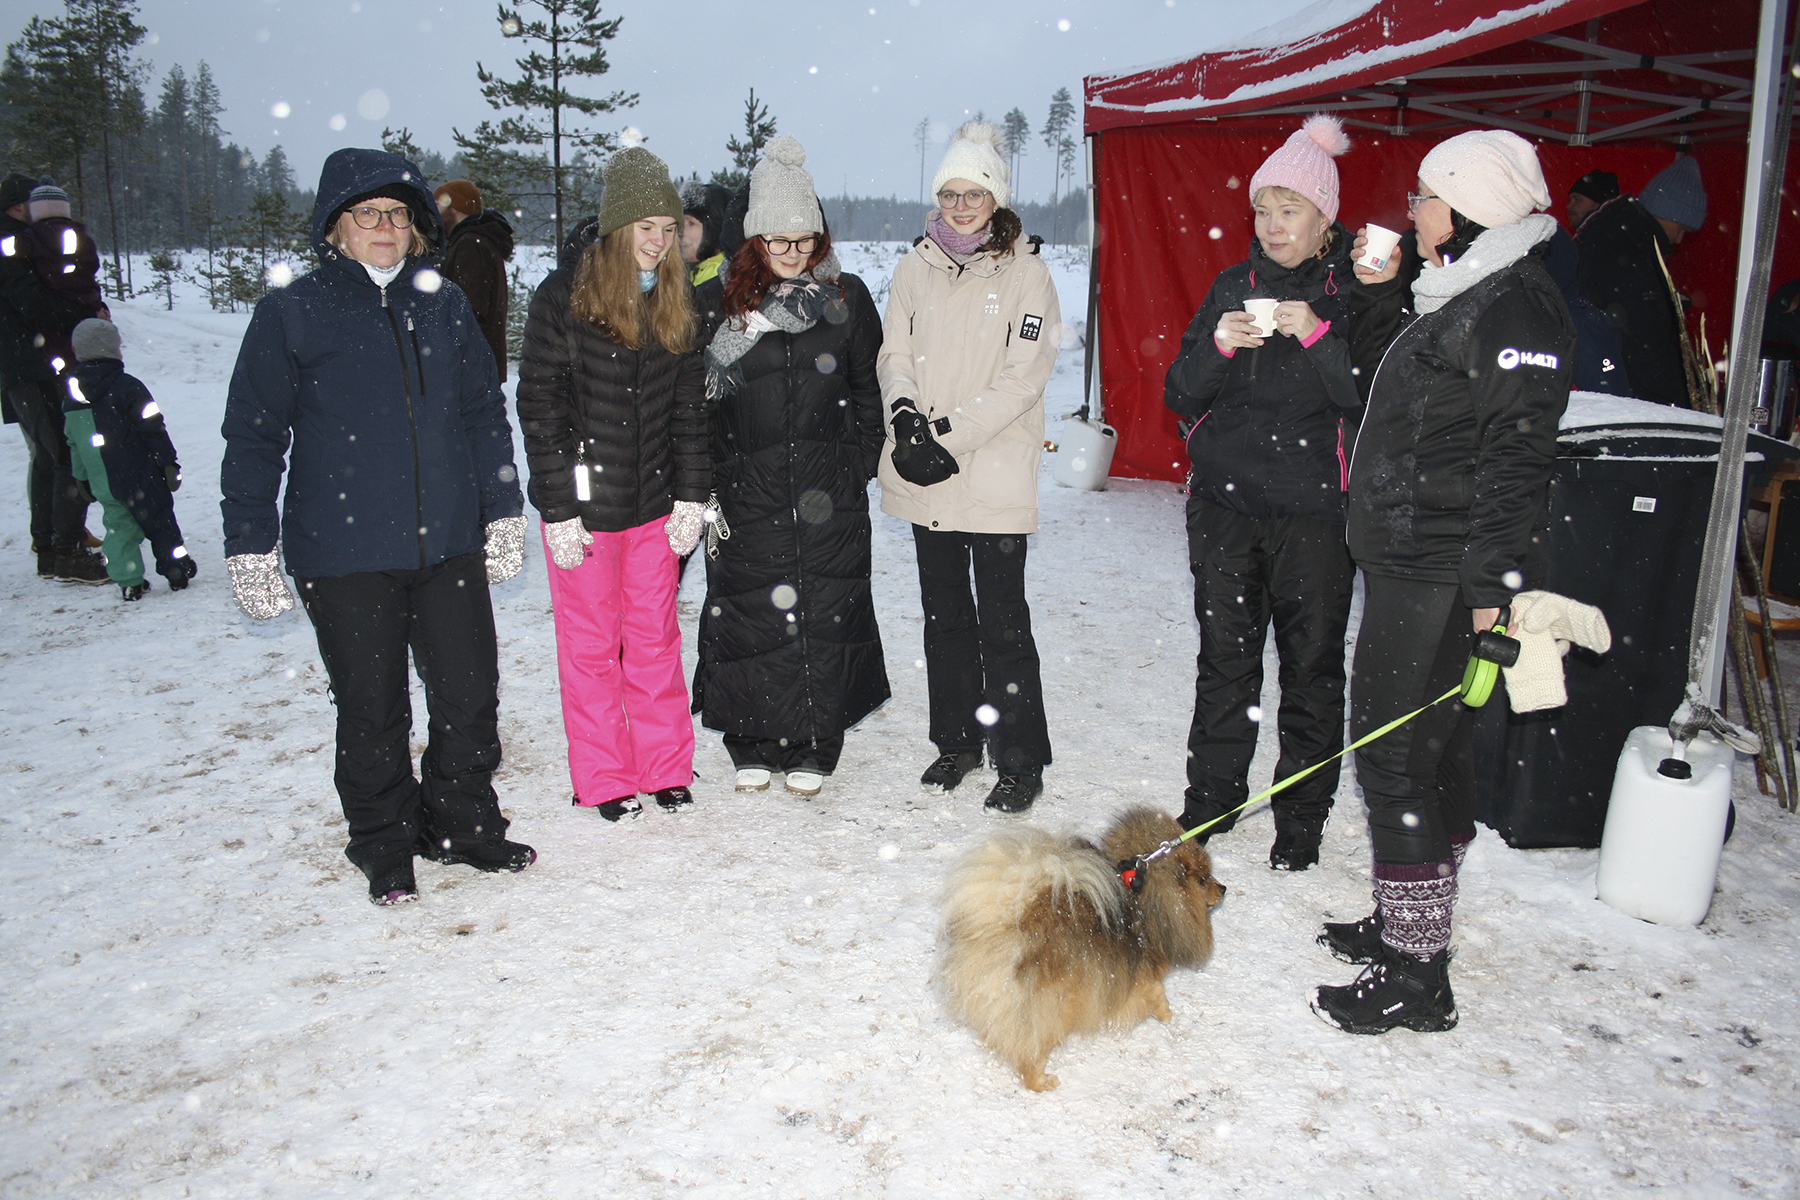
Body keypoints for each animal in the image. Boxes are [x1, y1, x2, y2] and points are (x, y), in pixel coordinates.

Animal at [943, 813, 1224, 1093]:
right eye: (1203, 880)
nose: (1223, 888)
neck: (1144, 895)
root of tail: (1011, 923)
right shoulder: (1144, 976)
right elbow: (1159, 996)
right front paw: (1167, 1017)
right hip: (1052, 1008)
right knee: (1031, 1051)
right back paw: (1042, 1082)